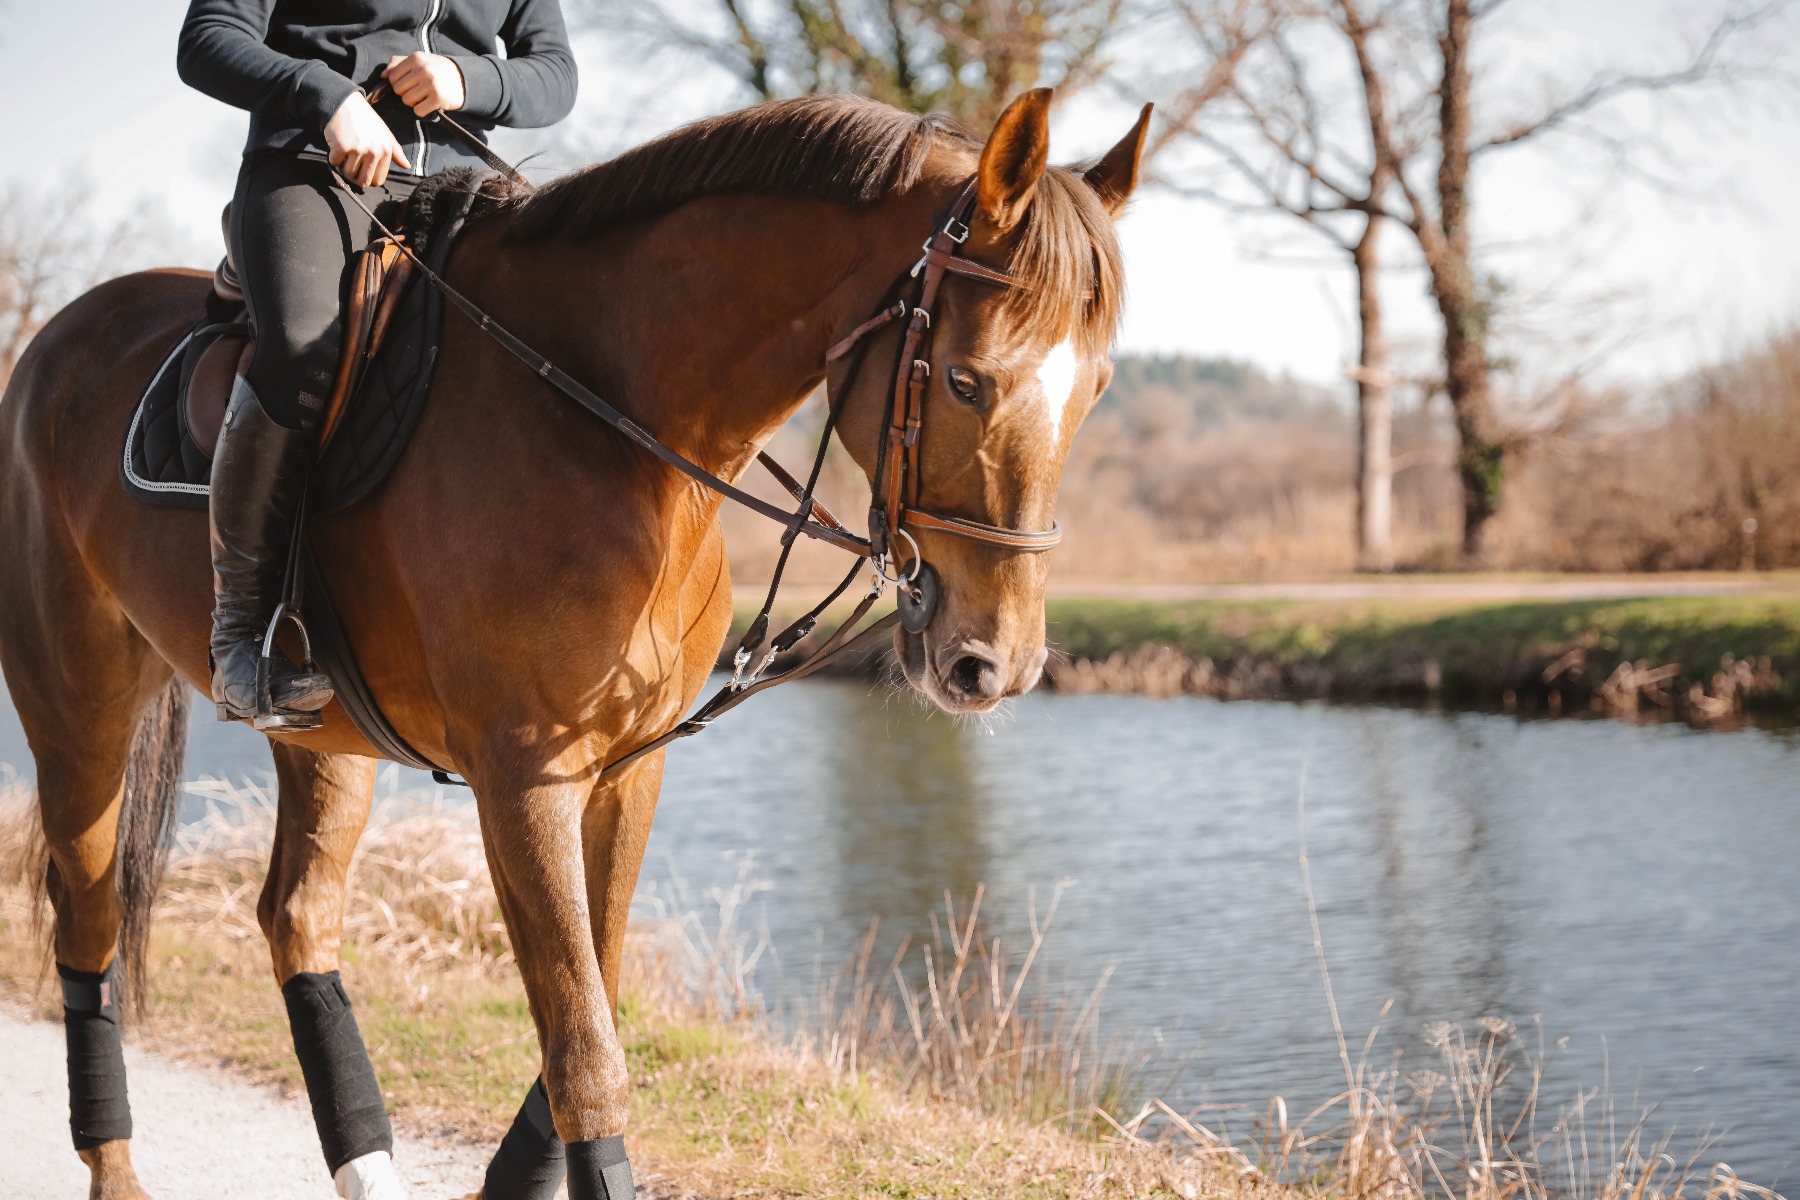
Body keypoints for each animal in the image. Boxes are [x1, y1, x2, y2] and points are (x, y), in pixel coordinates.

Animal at [0, 89, 1144, 1194]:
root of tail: (60, 334)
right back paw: (116, 1172)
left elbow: (592, 1002)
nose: (997, 662)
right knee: (88, 923)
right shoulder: (523, 781)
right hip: (77, 712)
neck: (619, 427)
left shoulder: (626, 769)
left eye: (1096, 390)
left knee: (296, 916)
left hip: (323, 740)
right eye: (964, 379)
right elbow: (587, 1052)